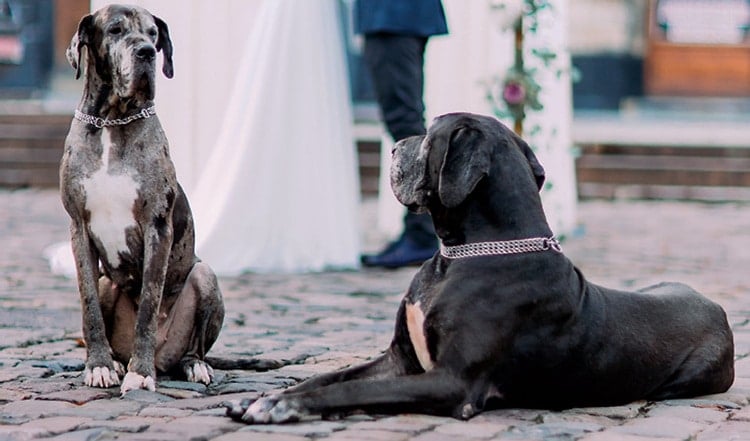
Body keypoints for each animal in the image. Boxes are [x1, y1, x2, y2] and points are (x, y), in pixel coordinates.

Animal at [60, 5, 225, 394]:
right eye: (116, 30)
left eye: (153, 35)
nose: (147, 53)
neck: (111, 122)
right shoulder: (79, 229)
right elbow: (88, 304)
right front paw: (99, 367)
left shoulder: (157, 228)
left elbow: (149, 304)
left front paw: (142, 372)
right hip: (108, 281)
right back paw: (118, 362)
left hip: (205, 275)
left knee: (194, 348)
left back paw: (191, 366)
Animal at [228, 111, 736, 422]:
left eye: (428, 136)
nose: (392, 147)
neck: (459, 256)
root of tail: (717, 307)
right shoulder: (400, 361)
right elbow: (331, 377)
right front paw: (267, 395)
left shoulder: (453, 381)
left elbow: (347, 391)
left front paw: (281, 407)